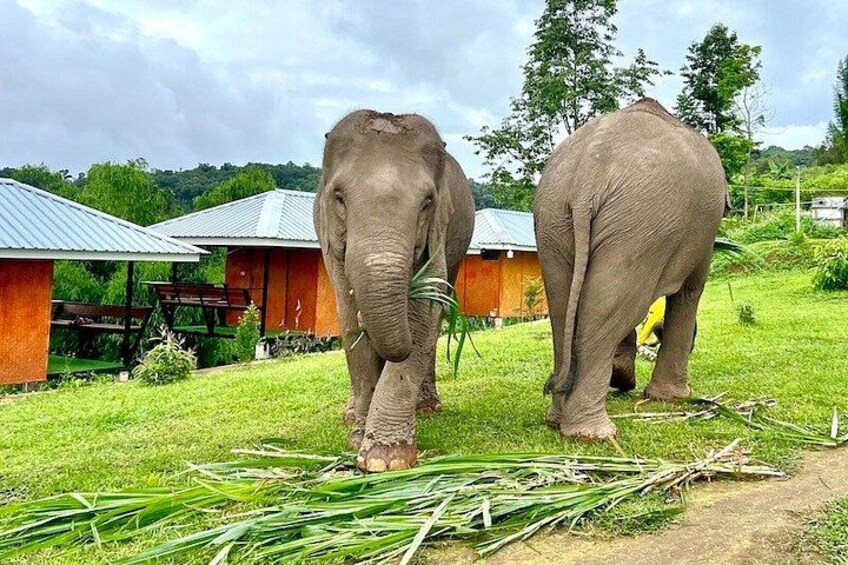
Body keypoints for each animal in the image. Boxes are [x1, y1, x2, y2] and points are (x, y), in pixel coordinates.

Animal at [314, 110, 475, 471]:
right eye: (339, 197)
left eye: (427, 203)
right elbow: (348, 321)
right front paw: (358, 437)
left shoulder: (440, 232)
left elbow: (424, 314)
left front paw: (385, 459)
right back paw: (351, 414)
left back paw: (427, 407)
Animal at [534, 98, 726, 440]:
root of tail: (589, 172)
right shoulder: (704, 234)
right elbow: (689, 291)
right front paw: (672, 397)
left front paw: (624, 379)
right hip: (641, 223)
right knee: (615, 303)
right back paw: (594, 434)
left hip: (555, 218)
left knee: (567, 303)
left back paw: (559, 421)